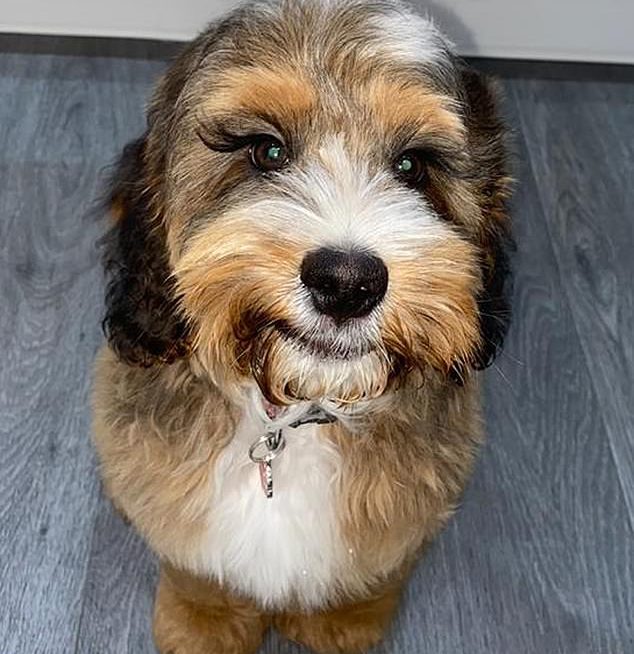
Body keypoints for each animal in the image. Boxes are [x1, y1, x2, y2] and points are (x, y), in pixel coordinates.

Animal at [91, 2, 512, 652]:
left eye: (412, 166)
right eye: (266, 152)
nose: (347, 281)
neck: (290, 421)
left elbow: (369, 572)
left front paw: (342, 619)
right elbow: (197, 569)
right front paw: (203, 619)